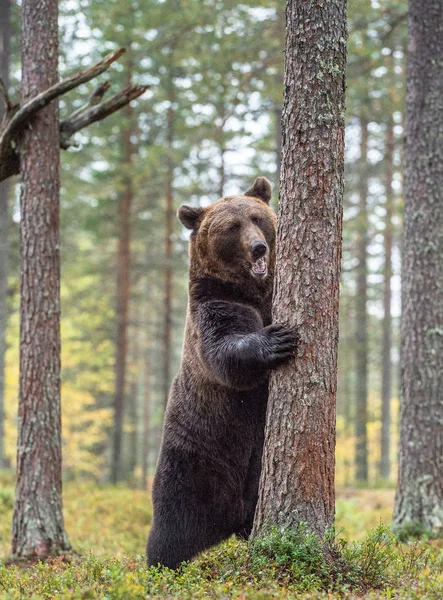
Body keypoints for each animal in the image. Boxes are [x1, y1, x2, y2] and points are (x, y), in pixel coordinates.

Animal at [147, 177, 298, 568]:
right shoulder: (214, 303)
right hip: (194, 456)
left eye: (257, 218)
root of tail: (232, 519)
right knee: (172, 524)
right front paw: (276, 339)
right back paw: (159, 565)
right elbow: (224, 350)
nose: (259, 248)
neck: (255, 290)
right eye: (232, 227)